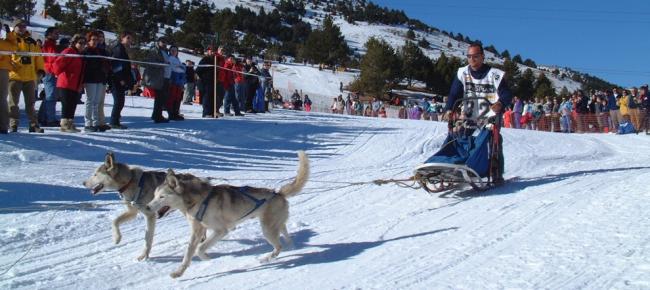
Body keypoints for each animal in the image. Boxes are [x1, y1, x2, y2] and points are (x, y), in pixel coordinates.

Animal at [147, 151, 308, 278]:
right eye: (154, 195)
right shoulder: (197, 232)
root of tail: (278, 193)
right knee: (286, 236)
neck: (199, 200)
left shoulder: (220, 231)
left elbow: (200, 249)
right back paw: (291, 247)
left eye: (161, 197)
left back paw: (266, 258)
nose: (147, 207)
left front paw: (207, 258)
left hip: (267, 229)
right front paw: (179, 272)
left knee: (278, 246)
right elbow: (188, 254)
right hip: (275, 225)